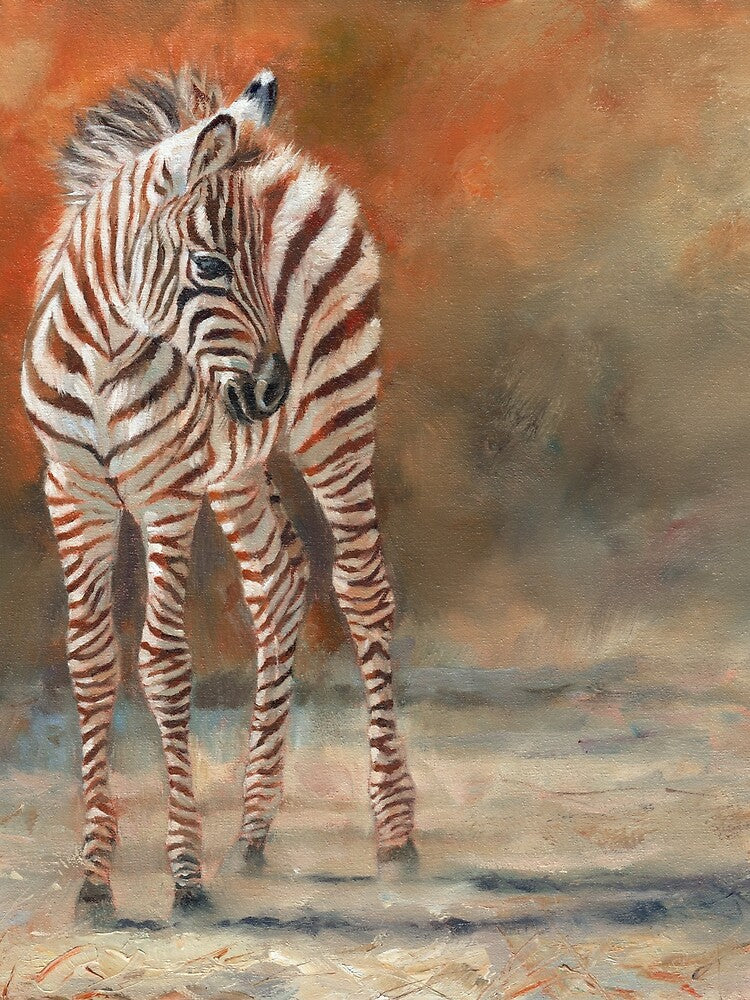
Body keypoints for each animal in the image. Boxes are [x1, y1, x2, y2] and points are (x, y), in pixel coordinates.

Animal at [21, 66, 417, 916]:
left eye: (262, 267)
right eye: (209, 267)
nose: (273, 388)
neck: (107, 354)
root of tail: (283, 155)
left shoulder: (165, 494)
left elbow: (165, 664)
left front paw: (184, 875)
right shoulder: (73, 492)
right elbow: (91, 662)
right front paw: (95, 876)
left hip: (336, 424)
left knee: (364, 590)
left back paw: (396, 835)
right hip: (237, 464)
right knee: (279, 582)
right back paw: (253, 831)